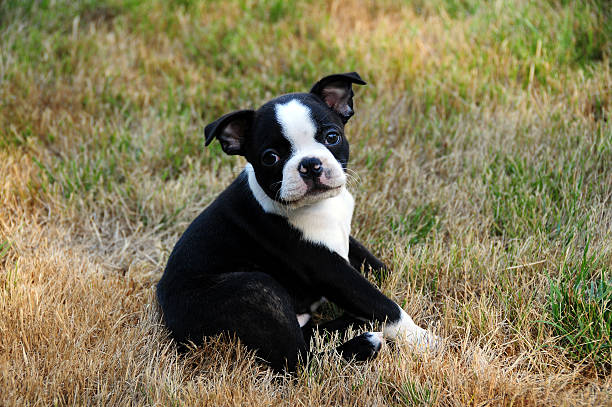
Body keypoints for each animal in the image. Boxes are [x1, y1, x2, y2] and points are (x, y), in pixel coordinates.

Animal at [155, 71, 438, 372]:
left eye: (332, 137)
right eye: (270, 157)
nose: (310, 164)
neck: (319, 206)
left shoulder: (342, 239)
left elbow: (373, 264)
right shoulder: (327, 266)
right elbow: (383, 304)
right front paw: (423, 339)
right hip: (256, 288)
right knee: (299, 360)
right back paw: (364, 343)